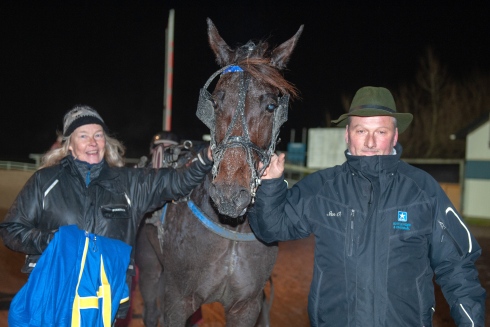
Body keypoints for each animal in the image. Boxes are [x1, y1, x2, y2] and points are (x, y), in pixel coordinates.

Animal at [135, 18, 302, 327]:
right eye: (215, 102)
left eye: (271, 105)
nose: (229, 194)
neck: (231, 228)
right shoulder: (178, 299)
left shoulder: (246, 306)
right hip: (150, 267)